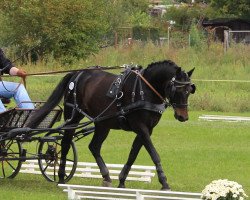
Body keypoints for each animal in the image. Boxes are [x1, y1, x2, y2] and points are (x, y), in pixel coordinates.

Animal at [26, 60, 196, 190]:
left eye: (189, 90)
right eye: (177, 90)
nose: (183, 116)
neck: (145, 89)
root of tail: (76, 74)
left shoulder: (147, 129)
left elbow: (133, 154)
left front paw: (122, 180)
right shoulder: (140, 127)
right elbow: (154, 153)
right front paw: (164, 182)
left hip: (102, 123)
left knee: (94, 147)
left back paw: (106, 177)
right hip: (73, 117)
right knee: (66, 143)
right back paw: (61, 177)